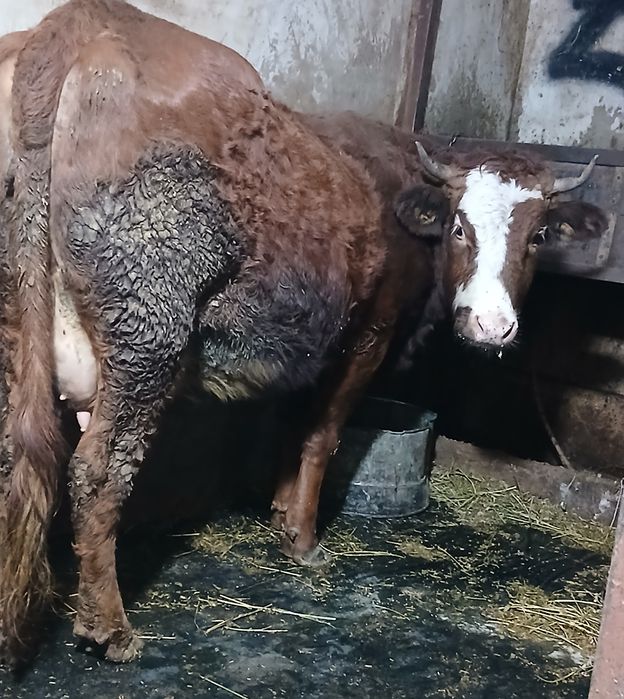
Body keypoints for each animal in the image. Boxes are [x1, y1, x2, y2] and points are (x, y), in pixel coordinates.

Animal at [0, 0, 606, 667]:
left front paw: (279, 508)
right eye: (459, 229)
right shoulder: (371, 330)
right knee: (99, 470)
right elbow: (323, 433)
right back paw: (109, 627)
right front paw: (304, 537)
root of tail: (78, 23)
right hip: (149, 323)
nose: (493, 325)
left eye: (538, 236)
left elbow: (293, 422)